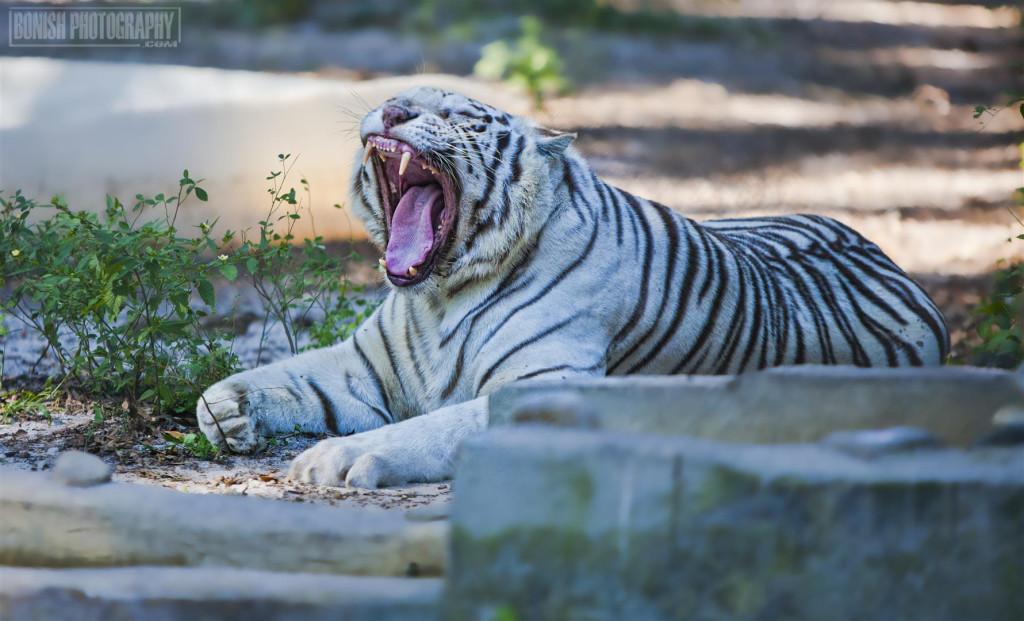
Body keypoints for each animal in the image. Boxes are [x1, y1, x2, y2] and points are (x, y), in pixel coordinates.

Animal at [195, 85, 946, 489]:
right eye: (393, 100)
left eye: (463, 117)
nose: (394, 109)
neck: (438, 296)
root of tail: (878, 248)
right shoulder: (363, 367)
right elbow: (285, 377)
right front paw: (226, 408)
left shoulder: (542, 390)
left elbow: (425, 429)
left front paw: (335, 457)